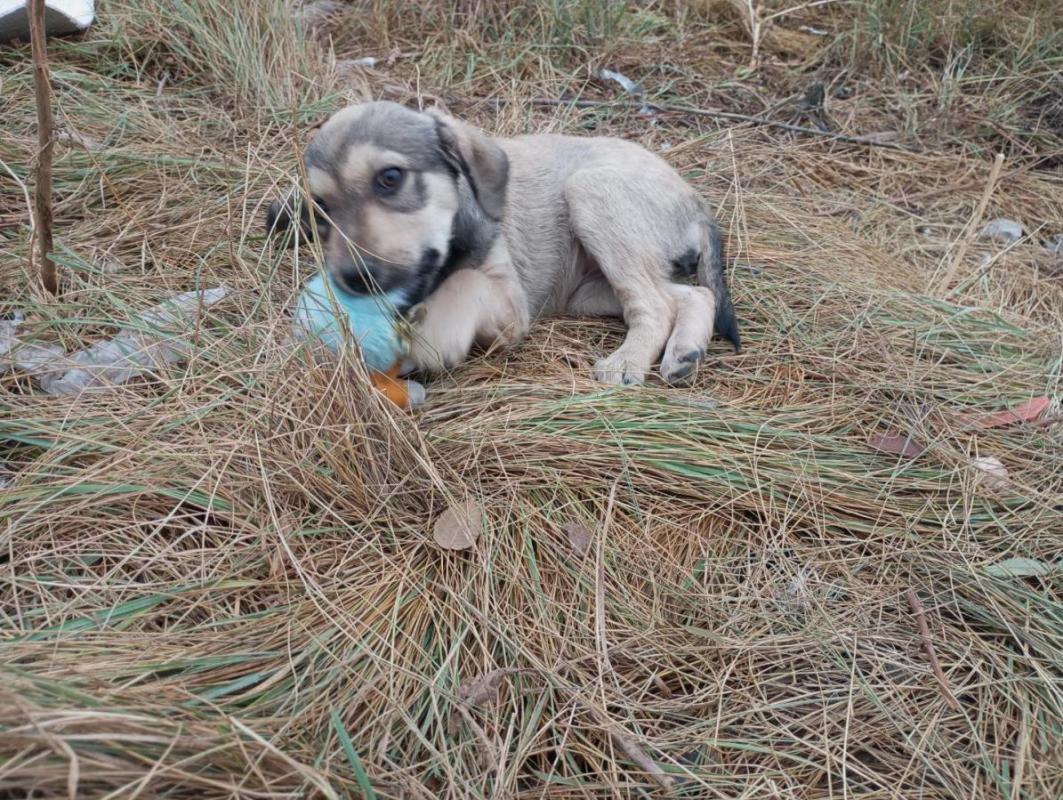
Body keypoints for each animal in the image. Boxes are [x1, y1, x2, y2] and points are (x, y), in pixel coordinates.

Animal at [267, 99, 739, 384]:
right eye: (321, 207)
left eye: (391, 177)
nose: (353, 281)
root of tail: (693, 198)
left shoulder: (511, 303)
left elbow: (466, 284)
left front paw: (433, 335)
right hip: (588, 290)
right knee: (690, 294)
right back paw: (685, 351)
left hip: (592, 194)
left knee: (656, 304)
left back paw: (628, 362)